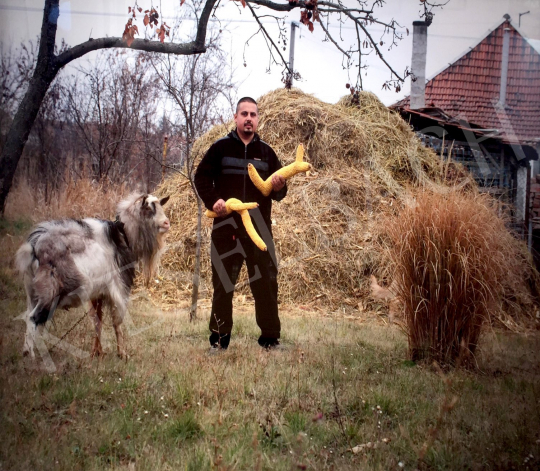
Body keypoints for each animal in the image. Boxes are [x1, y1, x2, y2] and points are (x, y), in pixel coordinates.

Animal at [15, 194, 170, 360]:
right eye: (148, 208)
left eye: (160, 205)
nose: (166, 223)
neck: (123, 235)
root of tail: (34, 247)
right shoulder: (118, 288)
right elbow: (117, 322)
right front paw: (122, 353)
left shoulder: (98, 293)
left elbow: (97, 320)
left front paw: (97, 352)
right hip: (51, 293)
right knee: (33, 317)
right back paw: (30, 355)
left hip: (32, 292)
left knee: (28, 316)